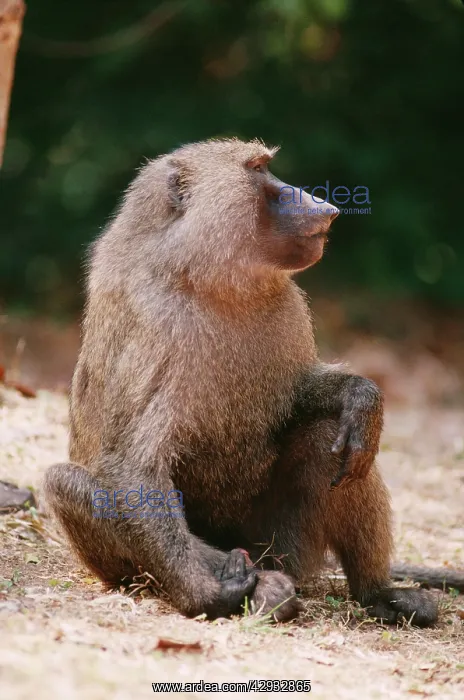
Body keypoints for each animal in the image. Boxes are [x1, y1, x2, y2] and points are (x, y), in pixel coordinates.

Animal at [43, 137, 439, 627]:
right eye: (258, 170)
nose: (326, 207)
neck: (205, 277)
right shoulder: (155, 322)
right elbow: (132, 466)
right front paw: (203, 593)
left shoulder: (287, 306)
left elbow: (301, 396)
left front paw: (362, 398)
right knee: (63, 483)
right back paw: (256, 587)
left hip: (283, 544)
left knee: (336, 438)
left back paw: (377, 593)